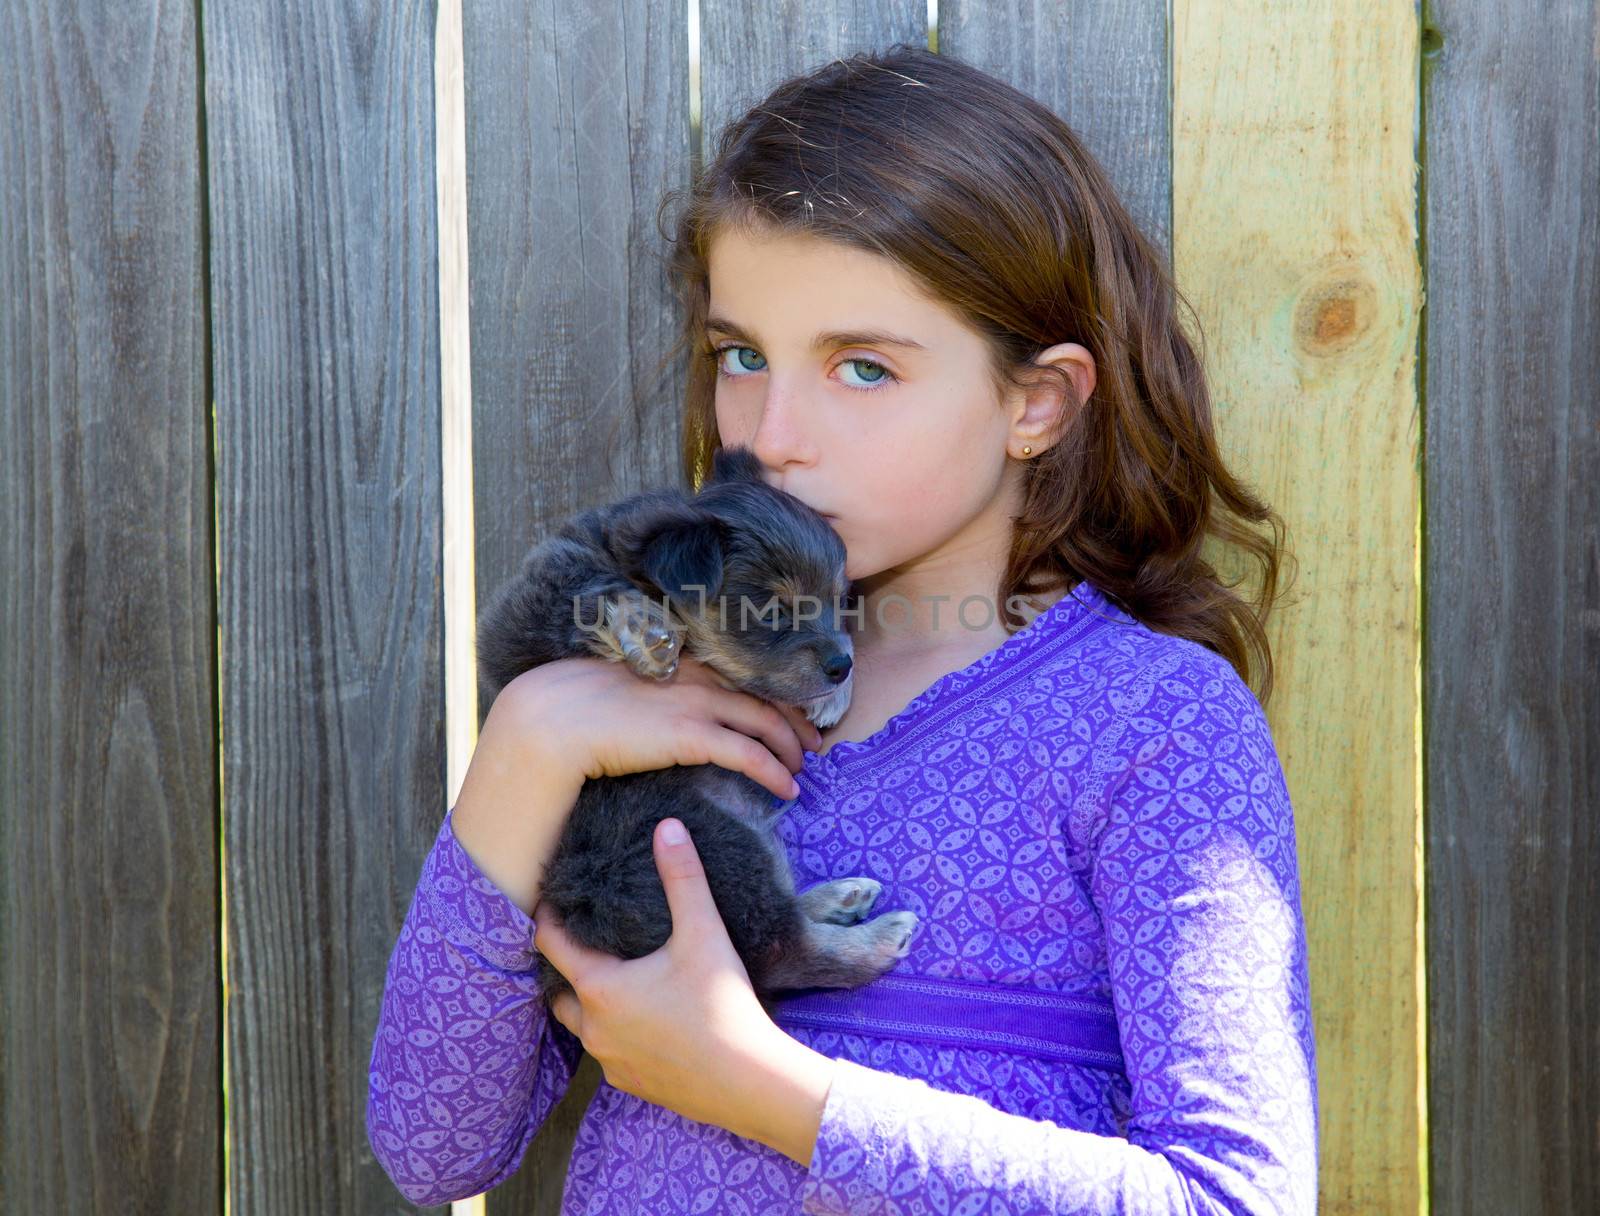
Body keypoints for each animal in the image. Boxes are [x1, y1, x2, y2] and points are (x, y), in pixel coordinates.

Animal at [470, 448, 915, 1017]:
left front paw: (837, 691)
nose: (839, 667)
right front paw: (644, 626)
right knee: (779, 950)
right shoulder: (518, 626)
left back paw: (839, 900)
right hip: (709, 836)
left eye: (842, 600)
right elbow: (591, 588)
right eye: (773, 610)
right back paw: (875, 935)